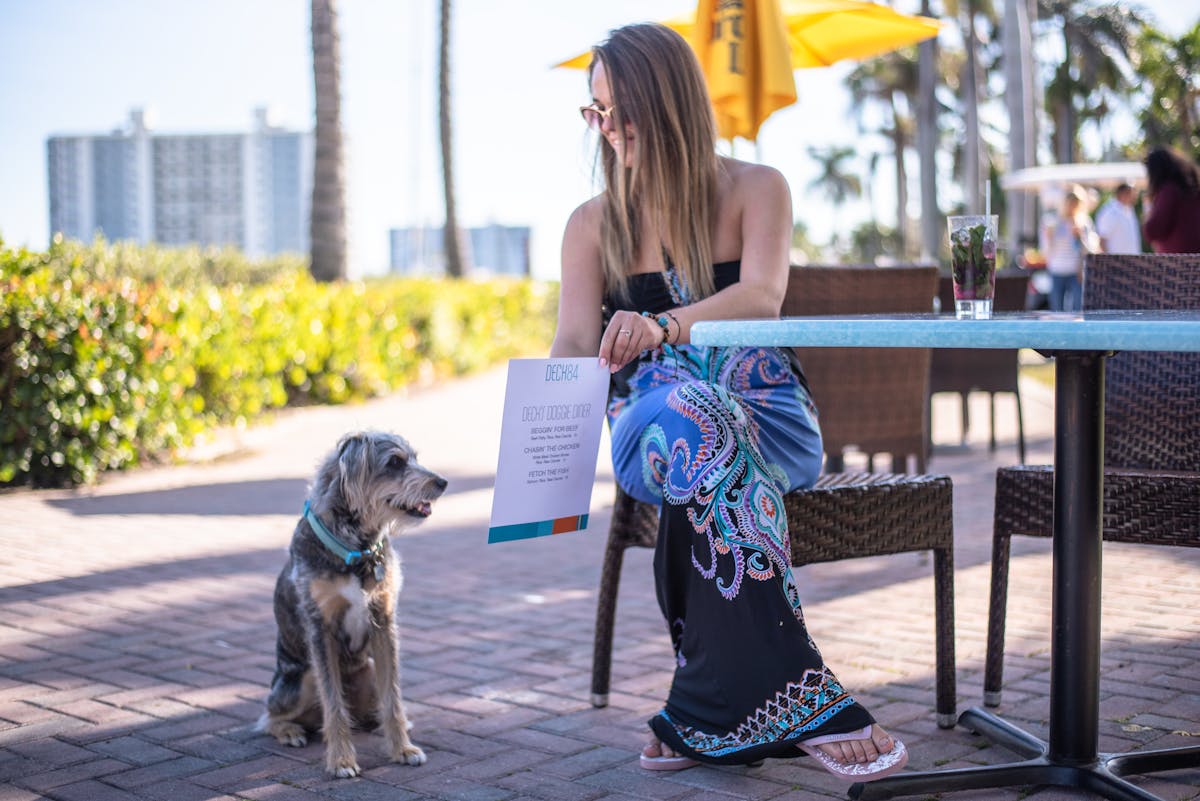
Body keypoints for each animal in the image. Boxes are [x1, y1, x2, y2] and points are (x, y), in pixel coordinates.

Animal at [260, 431, 448, 777]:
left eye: (414, 457)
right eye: (395, 462)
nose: (442, 482)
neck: (357, 548)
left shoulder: (383, 622)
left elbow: (392, 697)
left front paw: (402, 748)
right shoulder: (320, 630)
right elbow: (334, 705)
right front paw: (341, 760)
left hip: (369, 669)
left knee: (371, 710)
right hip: (299, 679)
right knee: (270, 716)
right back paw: (289, 730)